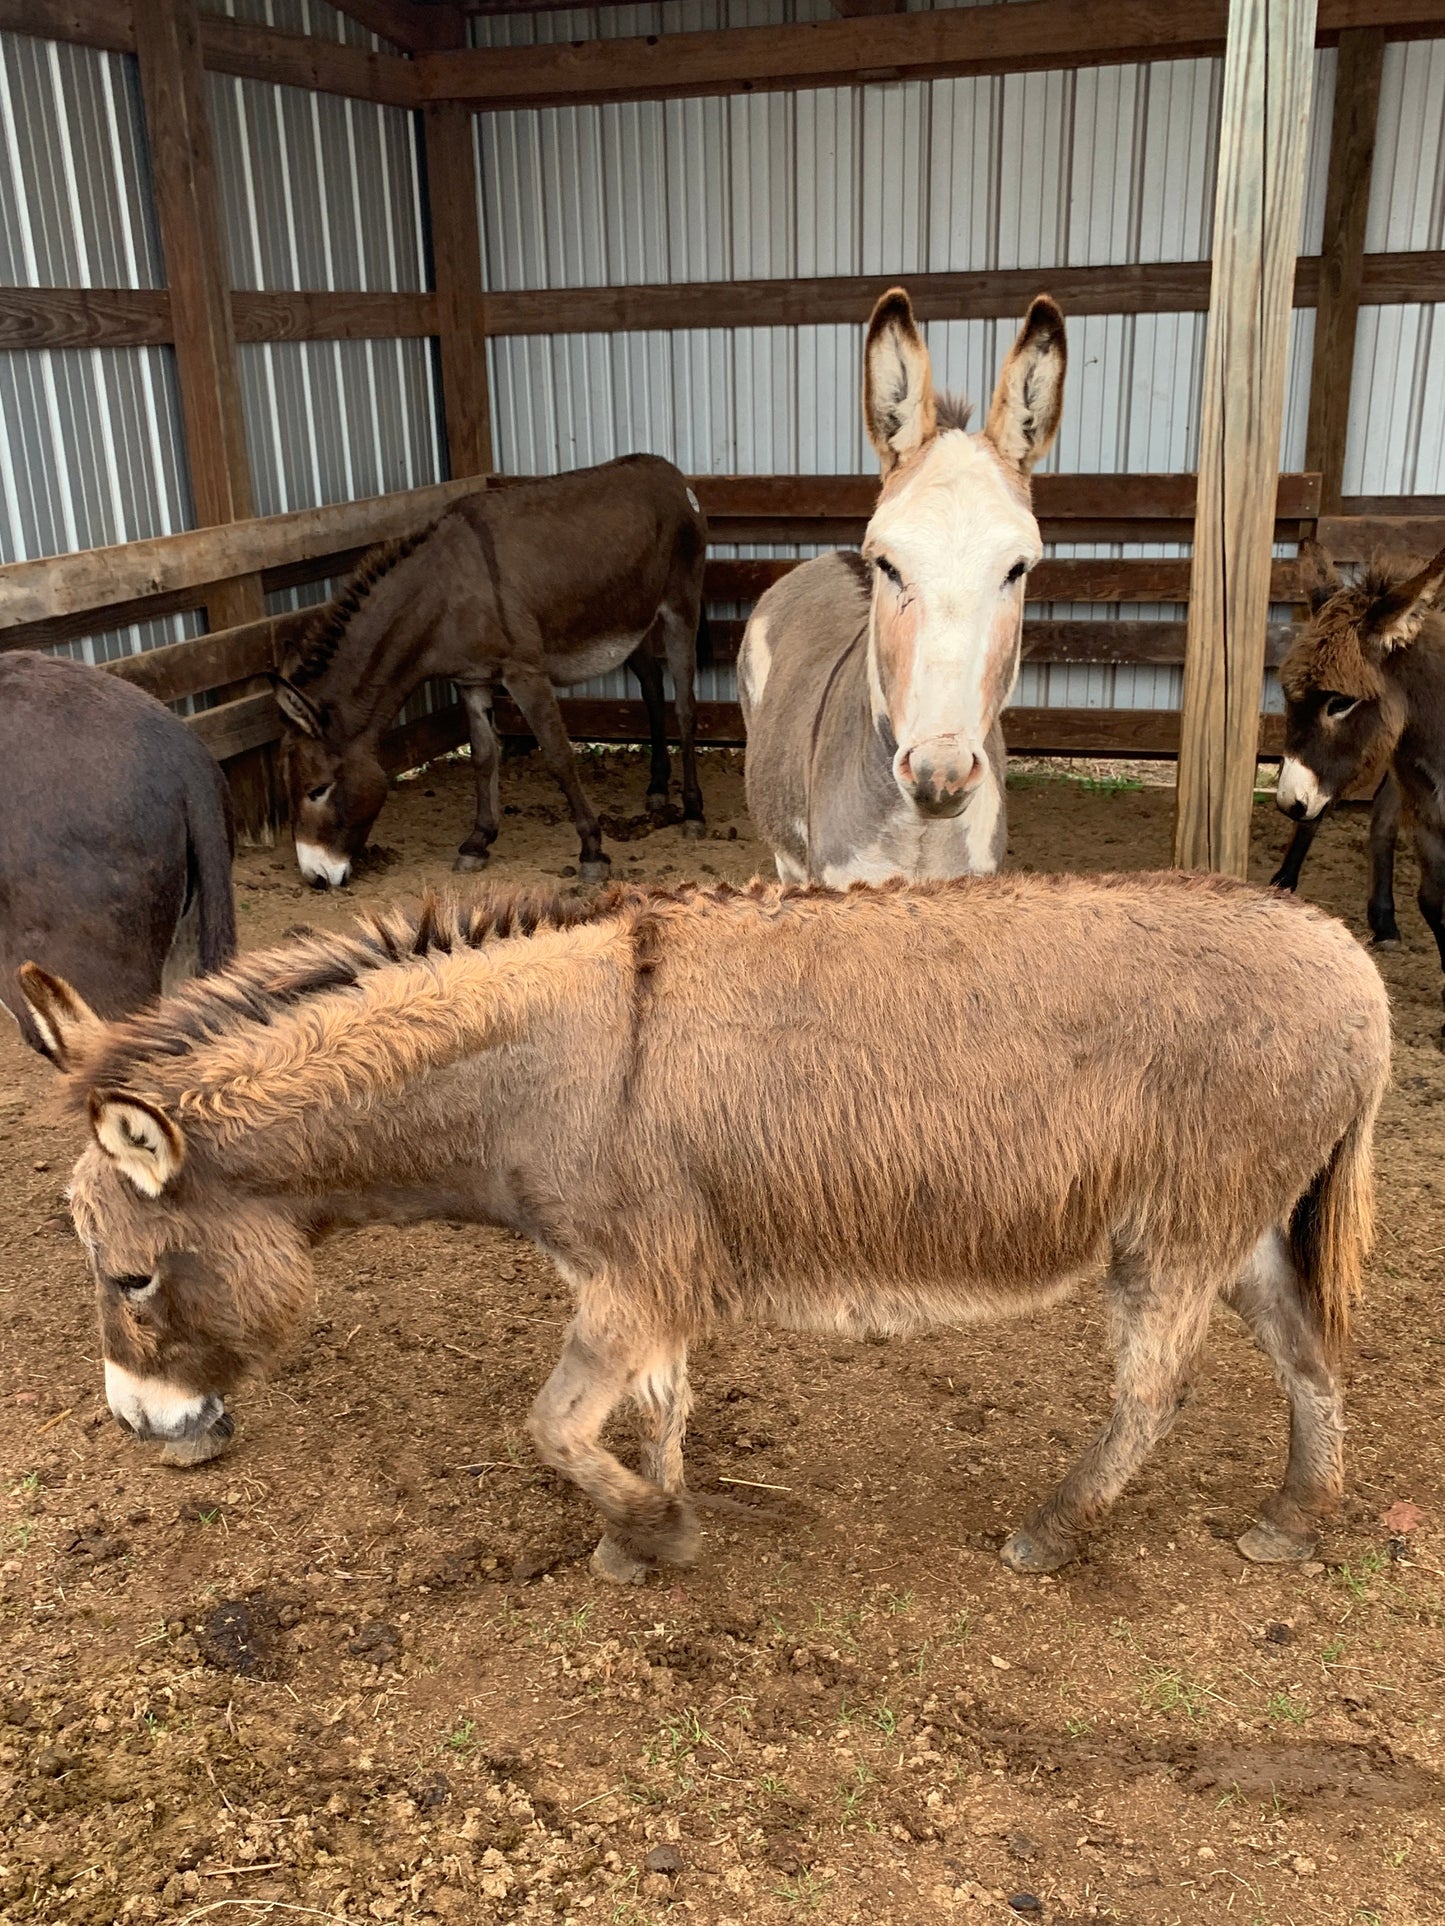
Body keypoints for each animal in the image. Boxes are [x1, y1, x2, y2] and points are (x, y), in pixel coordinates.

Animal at [24, 870, 1385, 1576]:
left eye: (129, 1279)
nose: (140, 1426)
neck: (548, 1064)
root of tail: (1352, 964)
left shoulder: (630, 1279)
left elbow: (551, 1426)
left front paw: (654, 1533)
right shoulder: (639, 1277)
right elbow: (653, 1409)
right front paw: (646, 1529)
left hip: (1177, 1230)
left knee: (1152, 1393)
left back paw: (1050, 1533)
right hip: (1241, 1227)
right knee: (1311, 1359)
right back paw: (1290, 1520)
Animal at [273, 454, 708, 888]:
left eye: (317, 790)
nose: (315, 877)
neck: (440, 597)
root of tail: (669, 471)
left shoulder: (525, 674)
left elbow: (558, 756)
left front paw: (592, 850)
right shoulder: (472, 680)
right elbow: (483, 757)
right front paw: (477, 842)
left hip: (680, 607)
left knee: (685, 705)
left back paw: (693, 812)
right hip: (631, 621)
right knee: (652, 686)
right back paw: (656, 788)